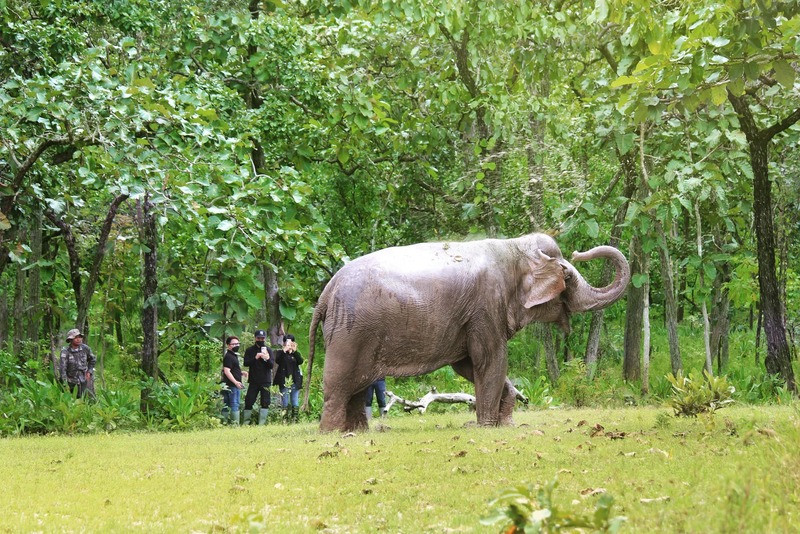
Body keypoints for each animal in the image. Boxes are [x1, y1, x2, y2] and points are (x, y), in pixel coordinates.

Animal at [304, 232, 628, 434]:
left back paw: (355, 432)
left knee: (357, 386)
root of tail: (327, 292)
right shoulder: (486, 305)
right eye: (568, 276)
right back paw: (332, 434)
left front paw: (505, 423)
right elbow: (491, 360)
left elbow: (468, 365)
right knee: (339, 384)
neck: (512, 247)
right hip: (351, 332)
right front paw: (486, 426)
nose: (578, 252)